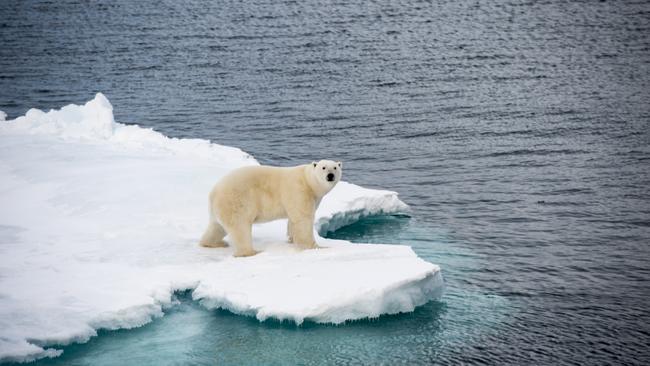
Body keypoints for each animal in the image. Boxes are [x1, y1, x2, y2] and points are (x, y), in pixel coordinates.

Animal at [197, 160, 342, 258]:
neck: (308, 181)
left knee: (217, 227)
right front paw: (316, 247)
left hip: (220, 208)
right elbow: (303, 219)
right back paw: (251, 252)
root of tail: (214, 192)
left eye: (335, 167)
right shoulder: (299, 190)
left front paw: (291, 239)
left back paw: (214, 243)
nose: (330, 175)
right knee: (240, 228)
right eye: (324, 167)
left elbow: (292, 220)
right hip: (236, 201)